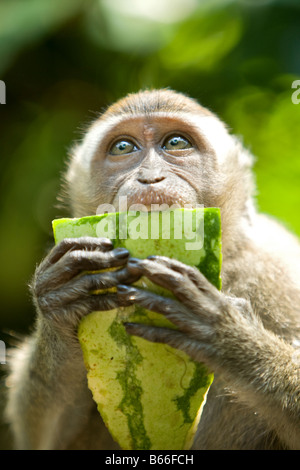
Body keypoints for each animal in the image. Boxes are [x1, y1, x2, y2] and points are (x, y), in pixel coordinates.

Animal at [4, 90, 300, 450]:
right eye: (123, 147)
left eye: (175, 143)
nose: (149, 177)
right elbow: (43, 440)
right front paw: (58, 301)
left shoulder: (278, 275)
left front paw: (228, 336)